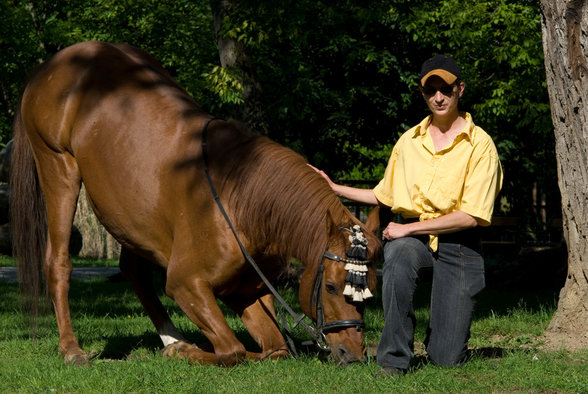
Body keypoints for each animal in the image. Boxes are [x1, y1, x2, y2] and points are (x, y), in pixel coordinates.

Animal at [10, 40, 382, 366]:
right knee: (58, 262)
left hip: (129, 210)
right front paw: (185, 352)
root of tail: (52, 64)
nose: (353, 355)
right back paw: (73, 350)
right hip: (58, 168)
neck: (241, 202)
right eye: (331, 286)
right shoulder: (187, 284)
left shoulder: (248, 290)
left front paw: (183, 346)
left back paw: (171, 336)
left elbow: (276, 349)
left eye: (371, 289)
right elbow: (232, 351)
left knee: (134, 270)